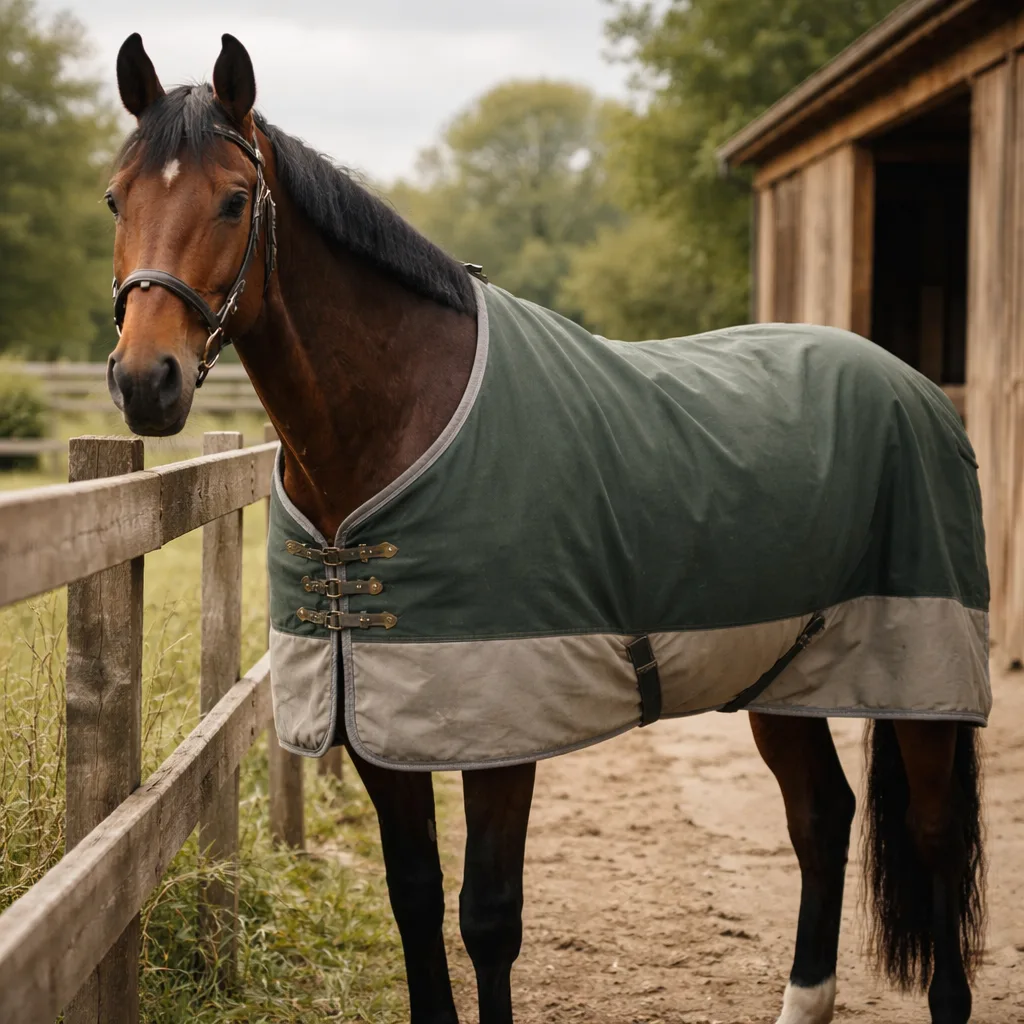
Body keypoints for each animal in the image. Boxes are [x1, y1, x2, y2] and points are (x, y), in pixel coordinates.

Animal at [105, 33, 987, 1024]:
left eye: (232, 198)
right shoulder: (371, 715)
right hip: (778, 666)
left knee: (933, 833)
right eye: (115, 198)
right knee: (821, 816)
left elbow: (488, 918)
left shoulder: (502, 722)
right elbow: (414, 897)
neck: (398, 425)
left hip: (920, 671)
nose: (145, 381)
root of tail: (914, 385)